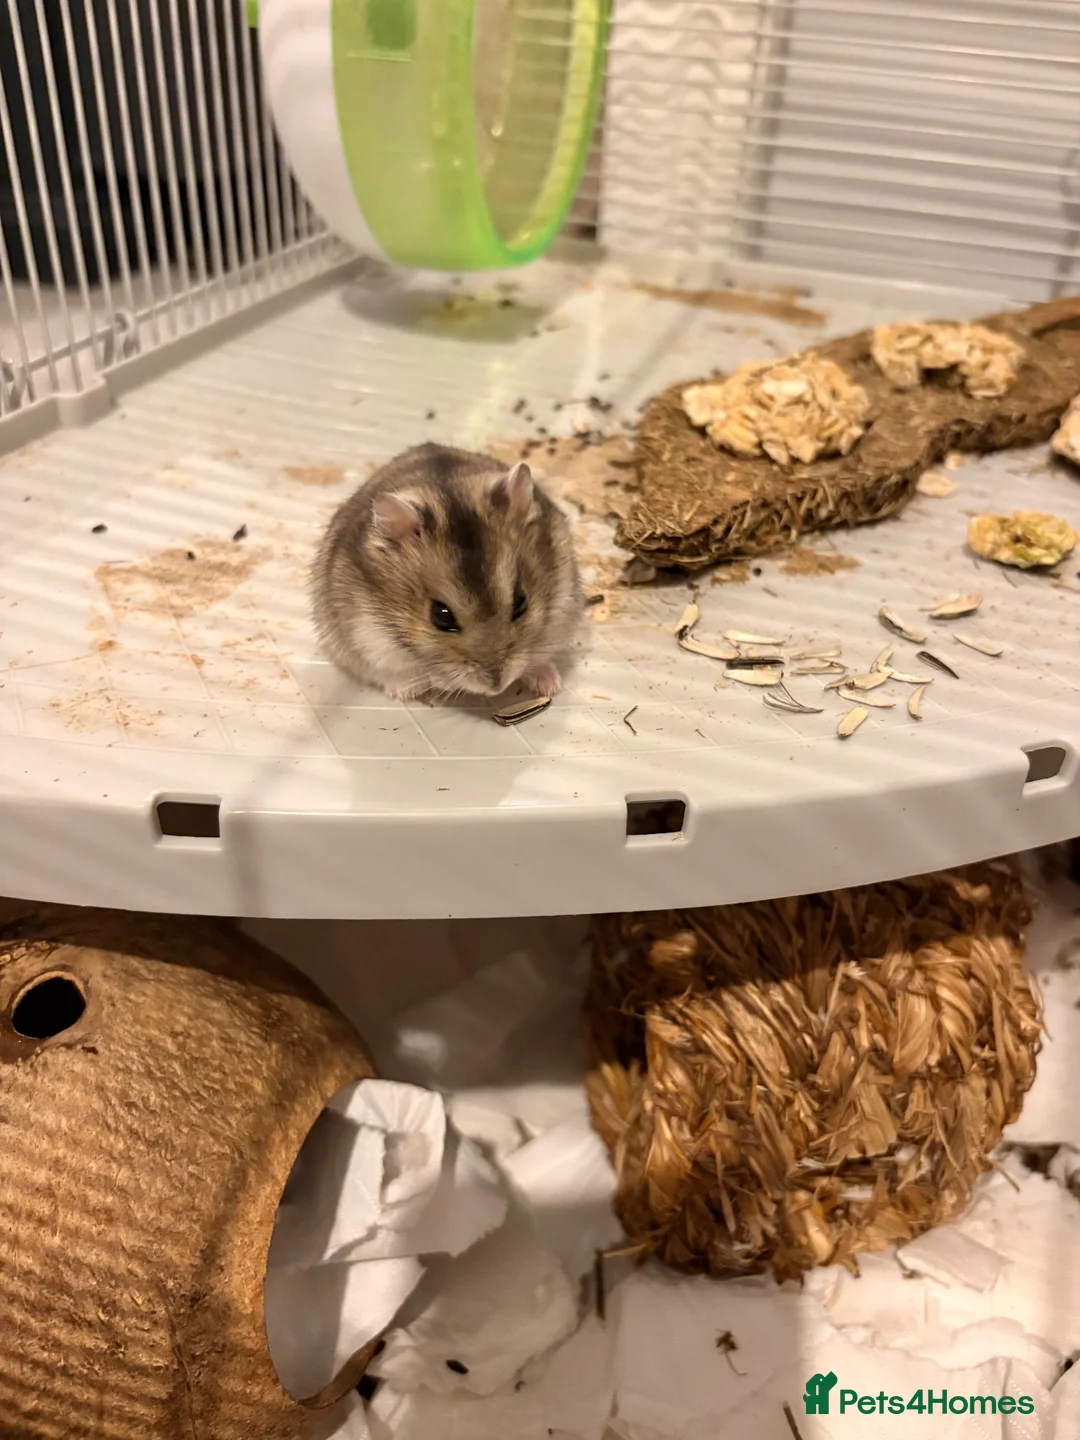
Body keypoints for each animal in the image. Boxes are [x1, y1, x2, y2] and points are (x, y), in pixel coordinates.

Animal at [311, 443, 583, 702]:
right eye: (441, 616)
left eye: (521, 603)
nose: (496, 687)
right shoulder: (367, 635)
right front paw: (440, 682)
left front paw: (548, 685)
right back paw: (406, 691)